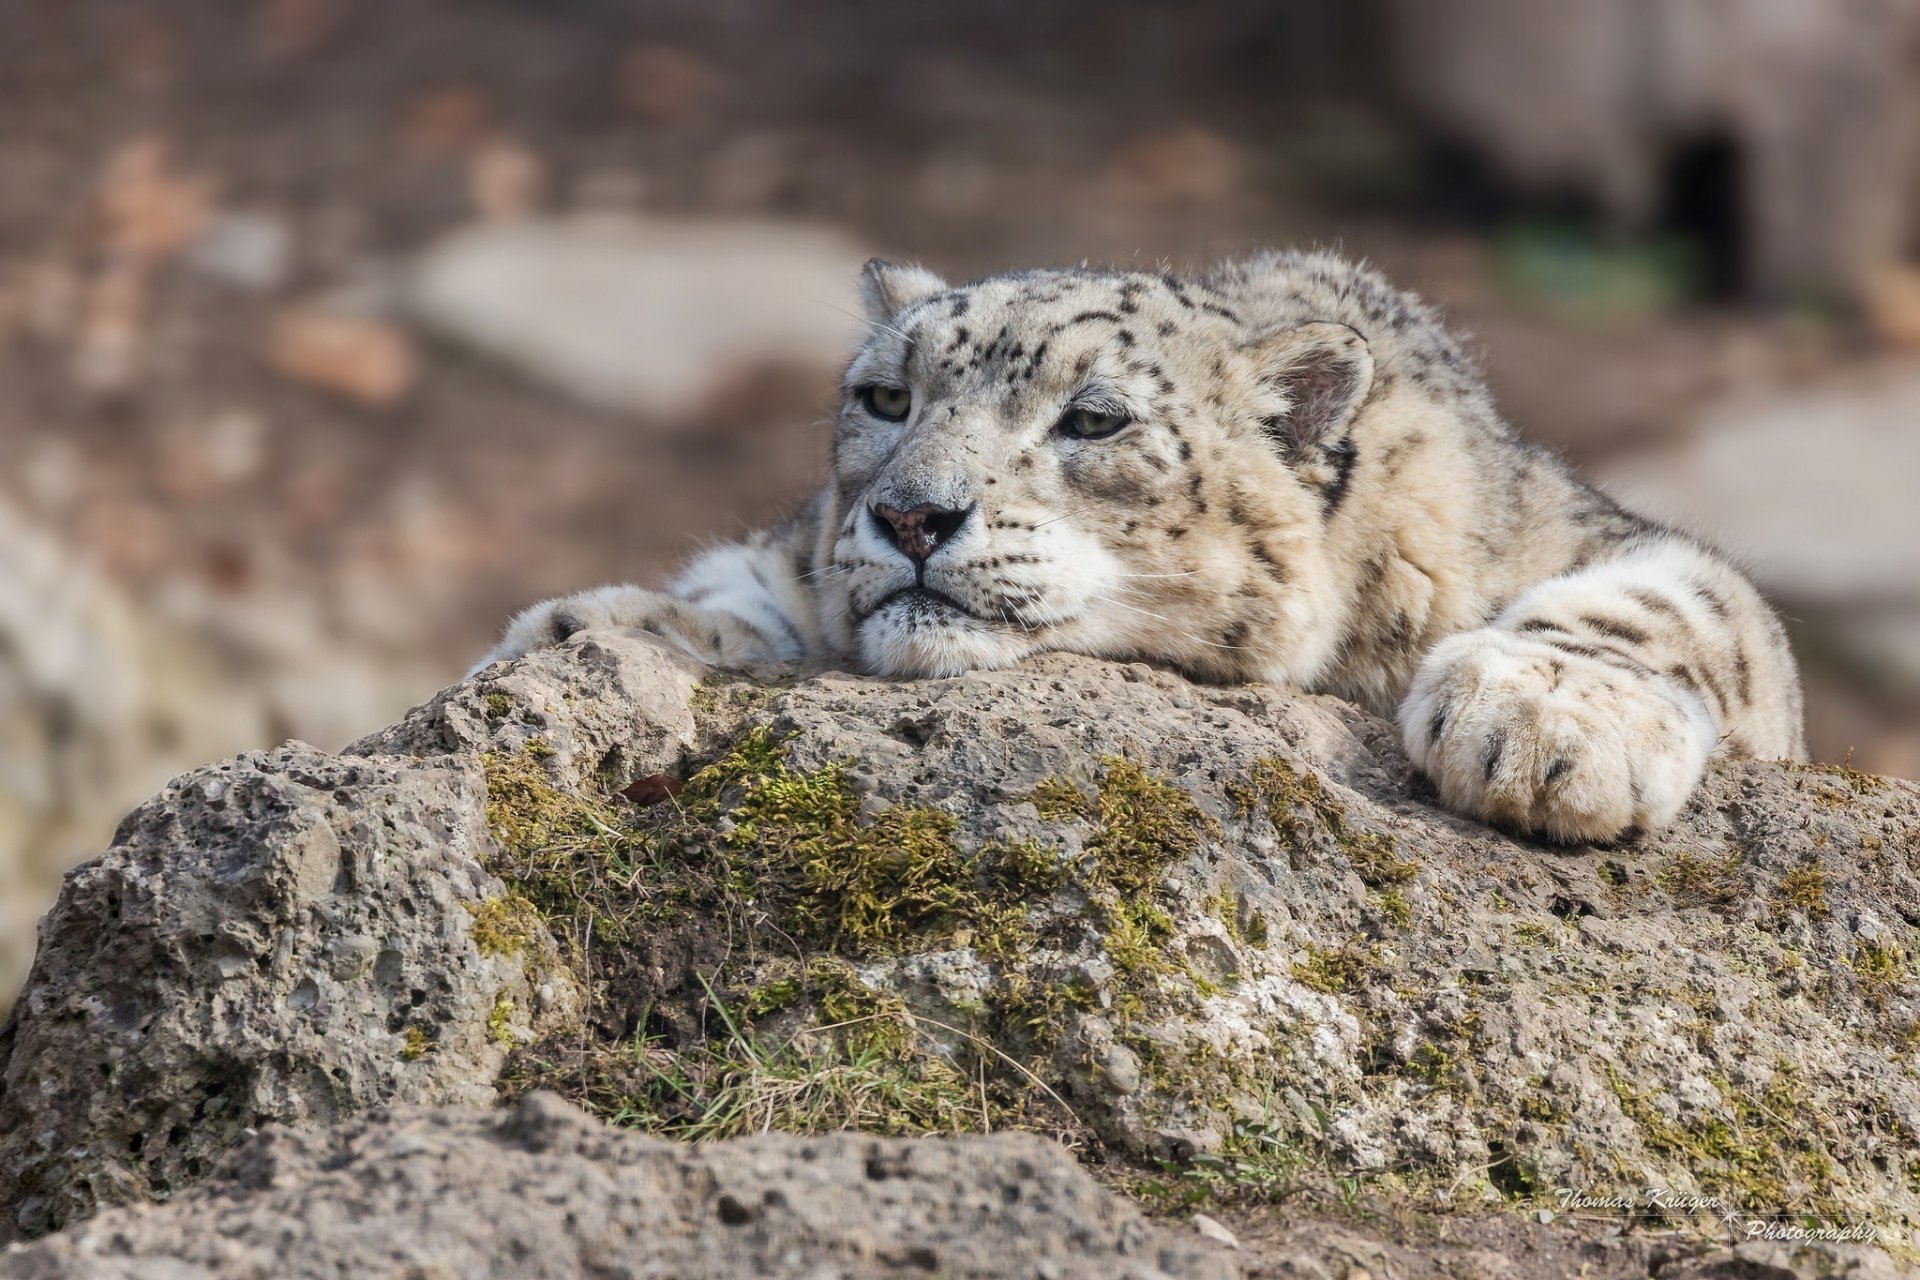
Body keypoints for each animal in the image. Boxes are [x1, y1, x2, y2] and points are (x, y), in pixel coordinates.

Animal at [474, 251, 1806, 843]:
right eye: (885, 397)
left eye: (1095, 419)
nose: (910, 516)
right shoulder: (797, 547)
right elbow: (749, 577)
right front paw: (595, 625)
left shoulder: (1599, 540)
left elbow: (1678, 601)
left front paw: (1541, 727)